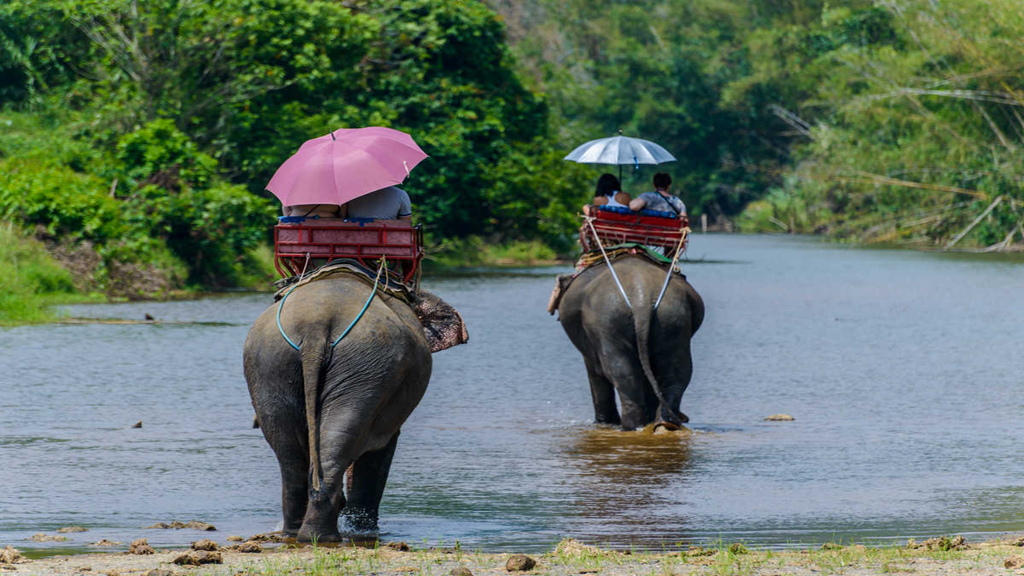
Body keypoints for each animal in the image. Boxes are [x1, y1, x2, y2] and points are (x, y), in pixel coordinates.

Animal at [241, 268, 466, 537]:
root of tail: (316, 327)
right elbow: (382, 447)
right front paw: (362, 527)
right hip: (362, 363)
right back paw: (322, 535)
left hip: (276, 363)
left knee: (291, 454)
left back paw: (299, 534)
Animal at [552, 255, 704, 430]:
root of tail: (642, 297)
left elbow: (595, 372)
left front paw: (603, 423)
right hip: (674, 319)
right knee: (677, 372)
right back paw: (663, 424)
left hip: (608, 322)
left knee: (621, 372)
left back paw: (630, 427)